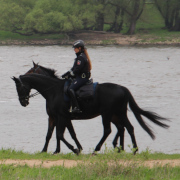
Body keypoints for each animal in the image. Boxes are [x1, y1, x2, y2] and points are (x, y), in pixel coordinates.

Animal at [12, 69, 169, 154]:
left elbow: (60, 135)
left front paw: (75, 149)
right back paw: (129, 149)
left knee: (110, 130)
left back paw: (99, 149)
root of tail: (122, 88)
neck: (53, 90)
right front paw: (47, 150)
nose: (23, 102)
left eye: (19, 87)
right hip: (118, 114)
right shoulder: (55, 117)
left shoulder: (62, 116)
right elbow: (51, 134)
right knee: (127, 128)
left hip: (108, 114)